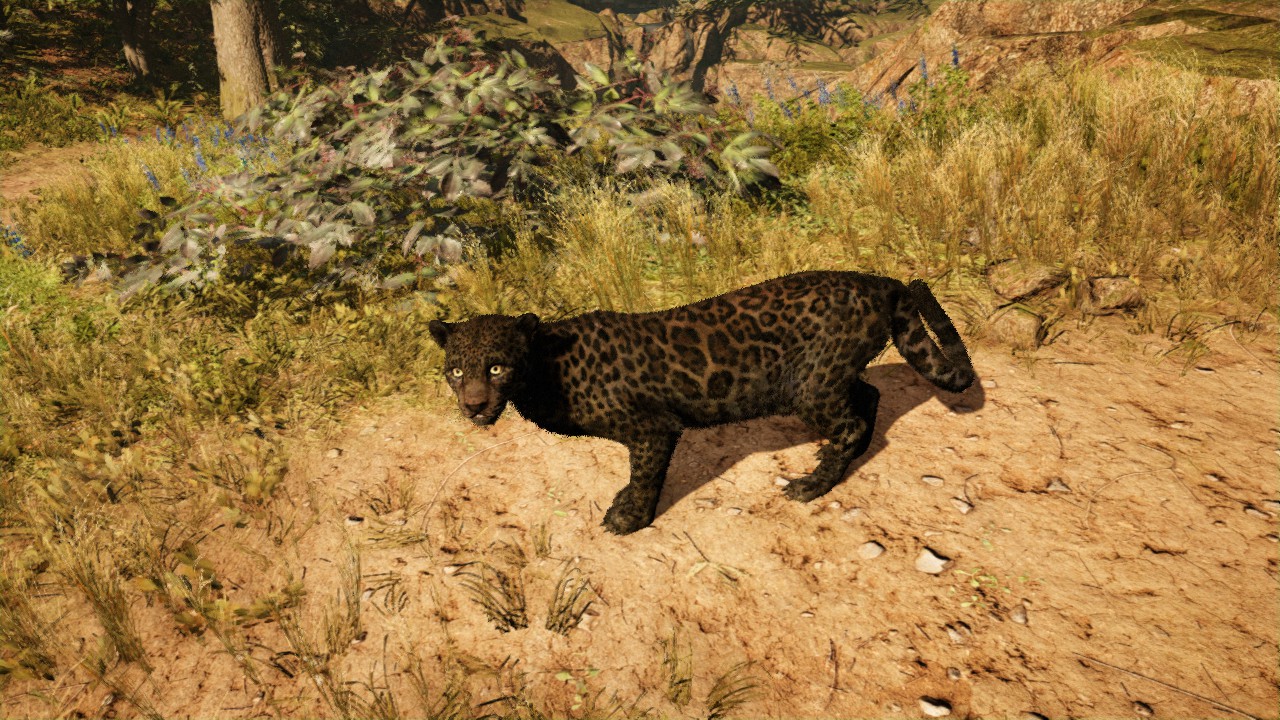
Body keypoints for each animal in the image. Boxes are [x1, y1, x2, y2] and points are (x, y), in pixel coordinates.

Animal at [428, 270, 975, 536]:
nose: (474, 406)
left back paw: (811, 484)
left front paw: (629, 519)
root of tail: (878, 281)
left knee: (849, 422)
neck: (546, 369)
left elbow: (645, 476)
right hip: (827, 378)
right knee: (868, 395)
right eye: (455, 371)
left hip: (812, 383)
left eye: (496, 367)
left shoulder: (652, 430)